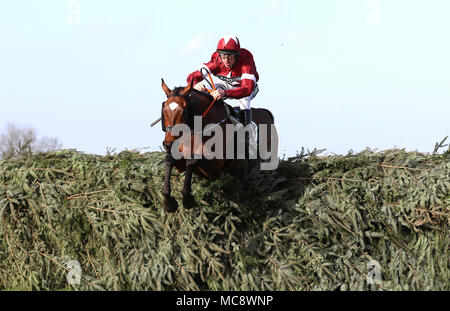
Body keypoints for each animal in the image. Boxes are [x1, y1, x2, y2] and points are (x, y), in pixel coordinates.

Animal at [160, 79, 276, 213]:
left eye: (183, 111)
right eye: (164, 110)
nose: (168, 143)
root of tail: (266, 113)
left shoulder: (214, 169)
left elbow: (192, 160)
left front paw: (187, 199)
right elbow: (169, 160)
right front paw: (168, 201)